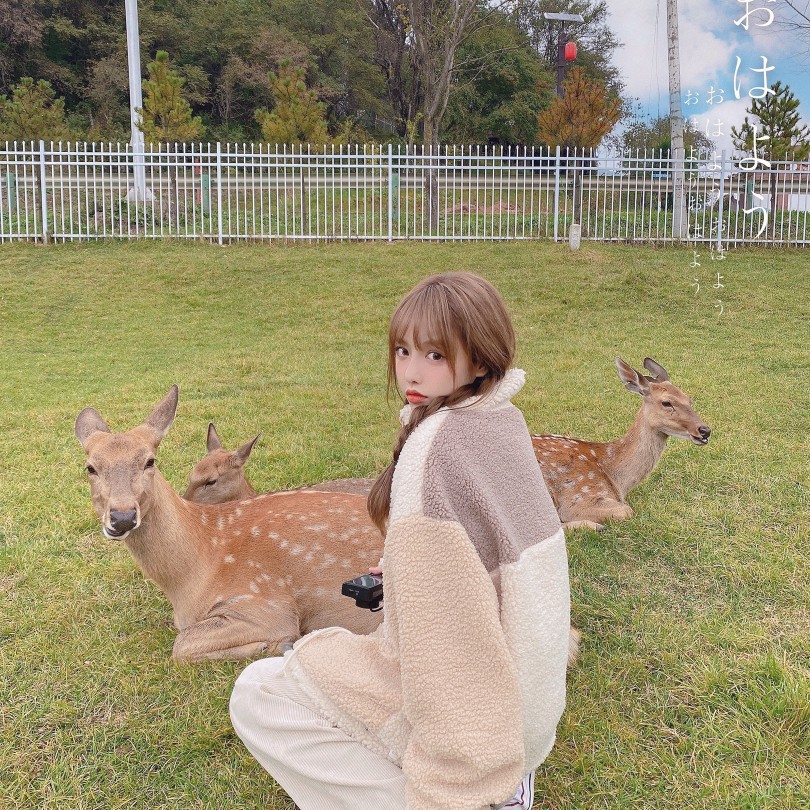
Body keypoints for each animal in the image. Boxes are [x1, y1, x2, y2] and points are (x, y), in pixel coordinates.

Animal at [532, 358, 712, 532]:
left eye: (689, 400)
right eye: (666, 403)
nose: (705, 431)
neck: (617, 480)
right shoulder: (577, 498)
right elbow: (627, 510)